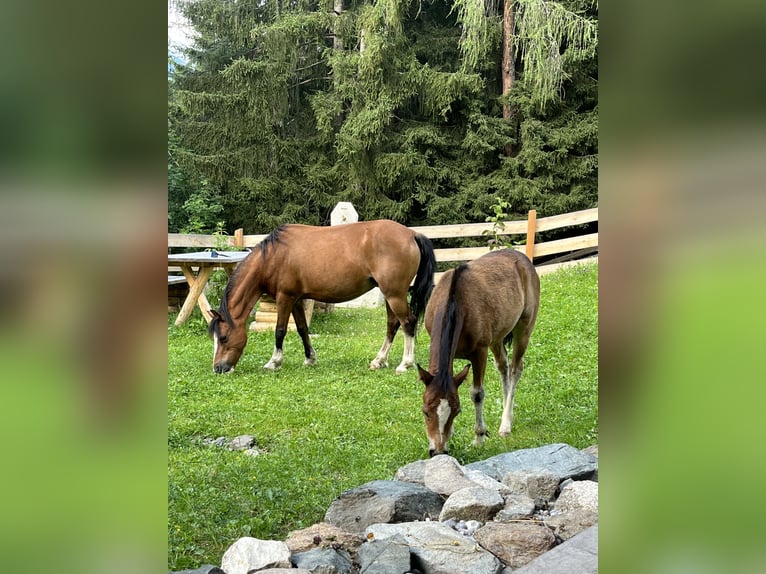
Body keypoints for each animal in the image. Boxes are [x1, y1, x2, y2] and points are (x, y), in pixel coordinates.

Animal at [210, 219, 438, 374]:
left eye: (223, 337)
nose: (219, 368)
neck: (273, 257)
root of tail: (411, 234)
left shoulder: (285, 298)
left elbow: (280, 331)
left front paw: (274, 362)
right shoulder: (295, 299)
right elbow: (302, 329)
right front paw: (310, 358)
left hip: (394, 294)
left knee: (408, 322)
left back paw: (405, 363)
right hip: (390, 294)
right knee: (393, 324)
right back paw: (379, 360)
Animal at [420, 250, 540, 456]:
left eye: (457, 411)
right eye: (425, 411)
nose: (438, 451)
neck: (456, 301)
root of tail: (524, 259)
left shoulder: (479, 352)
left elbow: (477, 393)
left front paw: (479, 437)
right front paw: (451, 434)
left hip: (523, 329)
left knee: (515, 369)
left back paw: (505, 424)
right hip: (497, 337)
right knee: (503, 366)